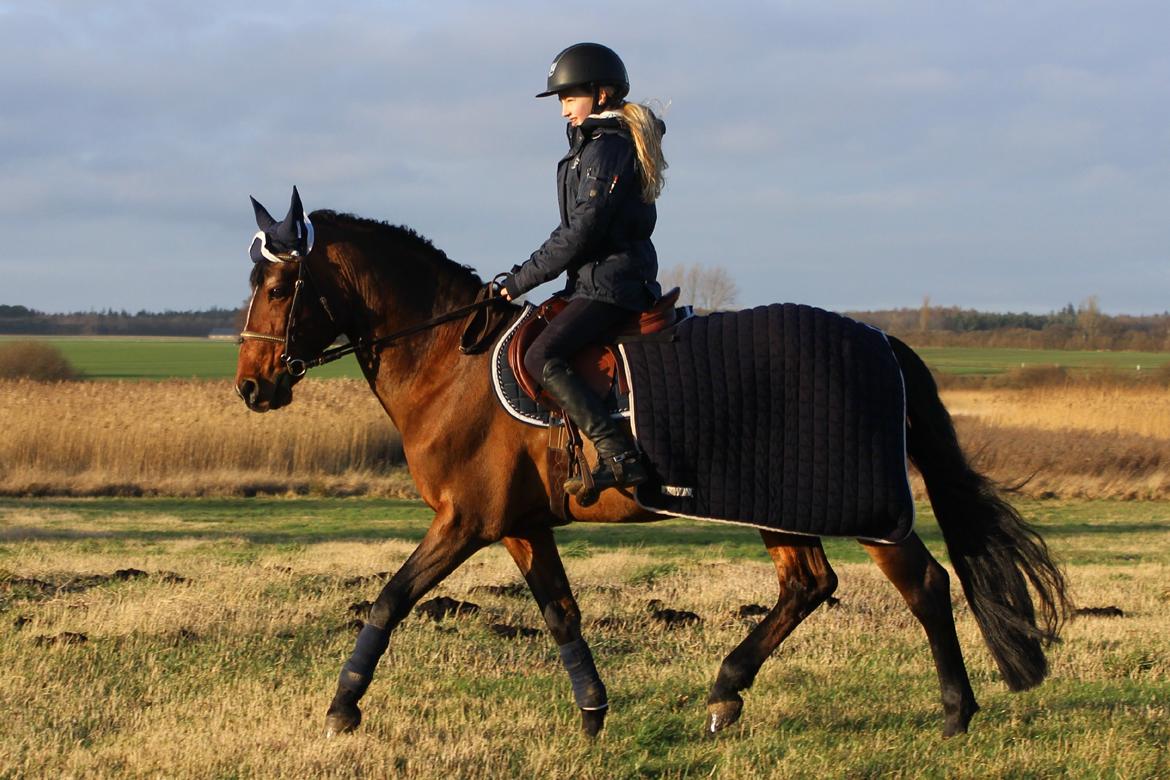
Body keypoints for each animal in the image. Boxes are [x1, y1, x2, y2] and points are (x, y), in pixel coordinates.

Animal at [235, 190, 1071, 739]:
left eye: (278, 287)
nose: (251, 387)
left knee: (923, 584)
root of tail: (879, 341)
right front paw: (593, 713)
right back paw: (726, 692)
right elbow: (560, 611)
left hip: (863, 507)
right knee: (809, 585)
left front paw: (343, 707)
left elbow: (390, 598)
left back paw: (955, 712)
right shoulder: (519, 524)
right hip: (781, 505)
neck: (450, 361)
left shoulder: (465, 520)